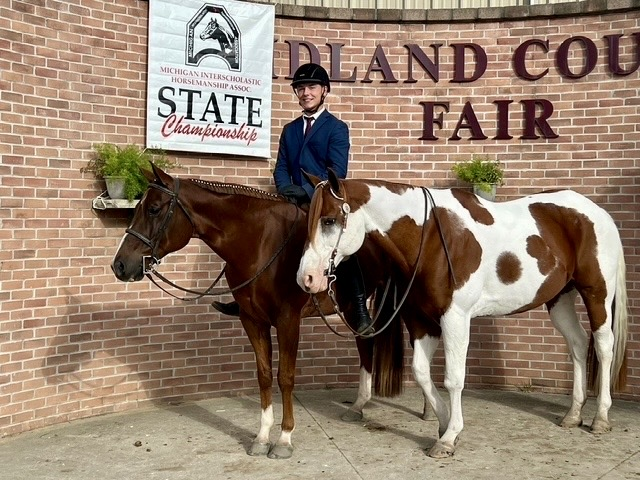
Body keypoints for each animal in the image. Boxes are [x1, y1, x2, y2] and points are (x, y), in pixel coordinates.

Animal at [111, 165, 407, 459]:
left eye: (153, 209)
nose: (120, 265)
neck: (261, 244)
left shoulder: (288, 321)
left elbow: (285, 377)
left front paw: (285, 439)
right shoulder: (252, 320)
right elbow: (264, 376)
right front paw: (262, 437)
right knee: (364, 342)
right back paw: (357, 406)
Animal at [297, 169, 629, 458]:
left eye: (329, 220)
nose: (307, 278)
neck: (430, 236)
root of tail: (599, 214)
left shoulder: (455, 318)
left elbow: (453, 379)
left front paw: (448, 437)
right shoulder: (420, 320)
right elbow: (421, 372)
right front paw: (443, 422)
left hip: (597, 294)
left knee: (603, 346)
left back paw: (600, 418)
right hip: (560, 299)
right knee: (577, 343)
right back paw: (573, 414)